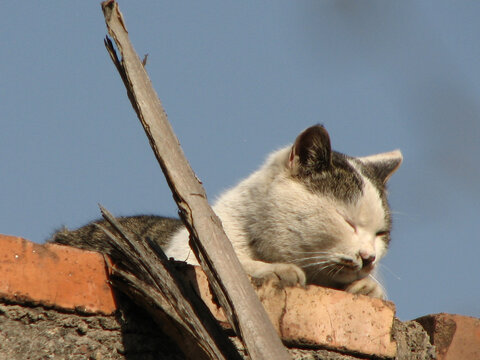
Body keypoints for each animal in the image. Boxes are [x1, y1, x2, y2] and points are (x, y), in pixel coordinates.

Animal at [51, 125, 402, 300]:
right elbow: (235, 266)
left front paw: (370, 287)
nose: (369, 257)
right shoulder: (185, 257)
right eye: (347, 222)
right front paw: (278, 270)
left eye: (381, 234)